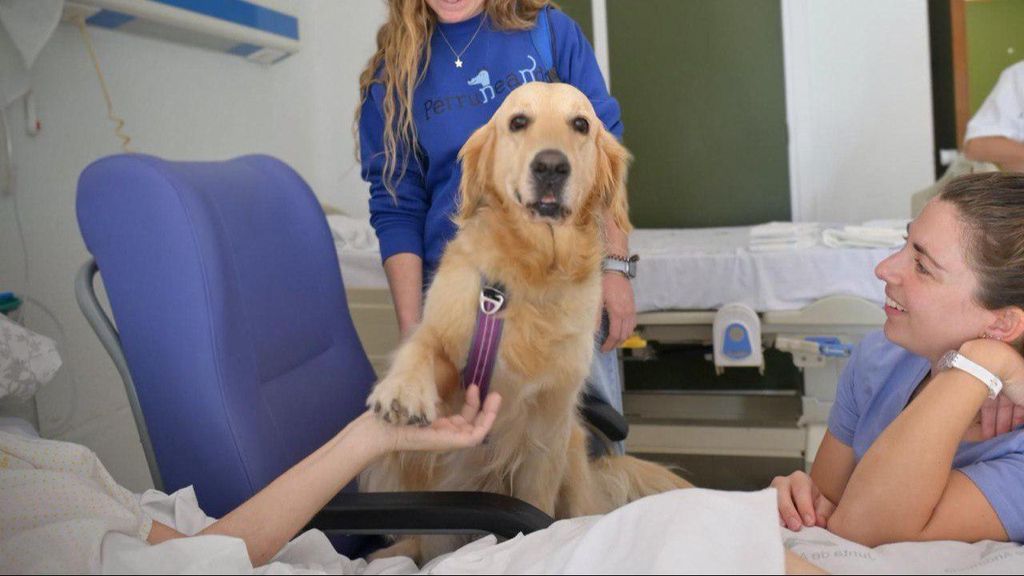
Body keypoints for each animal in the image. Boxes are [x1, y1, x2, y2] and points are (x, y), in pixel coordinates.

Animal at [360, 81, 688, 561]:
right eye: (518, 122)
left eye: (580, 124)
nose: (551, 166)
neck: (529, 273)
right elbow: (423, 345)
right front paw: (404, 390)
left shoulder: (546, 433)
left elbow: (539, 509)